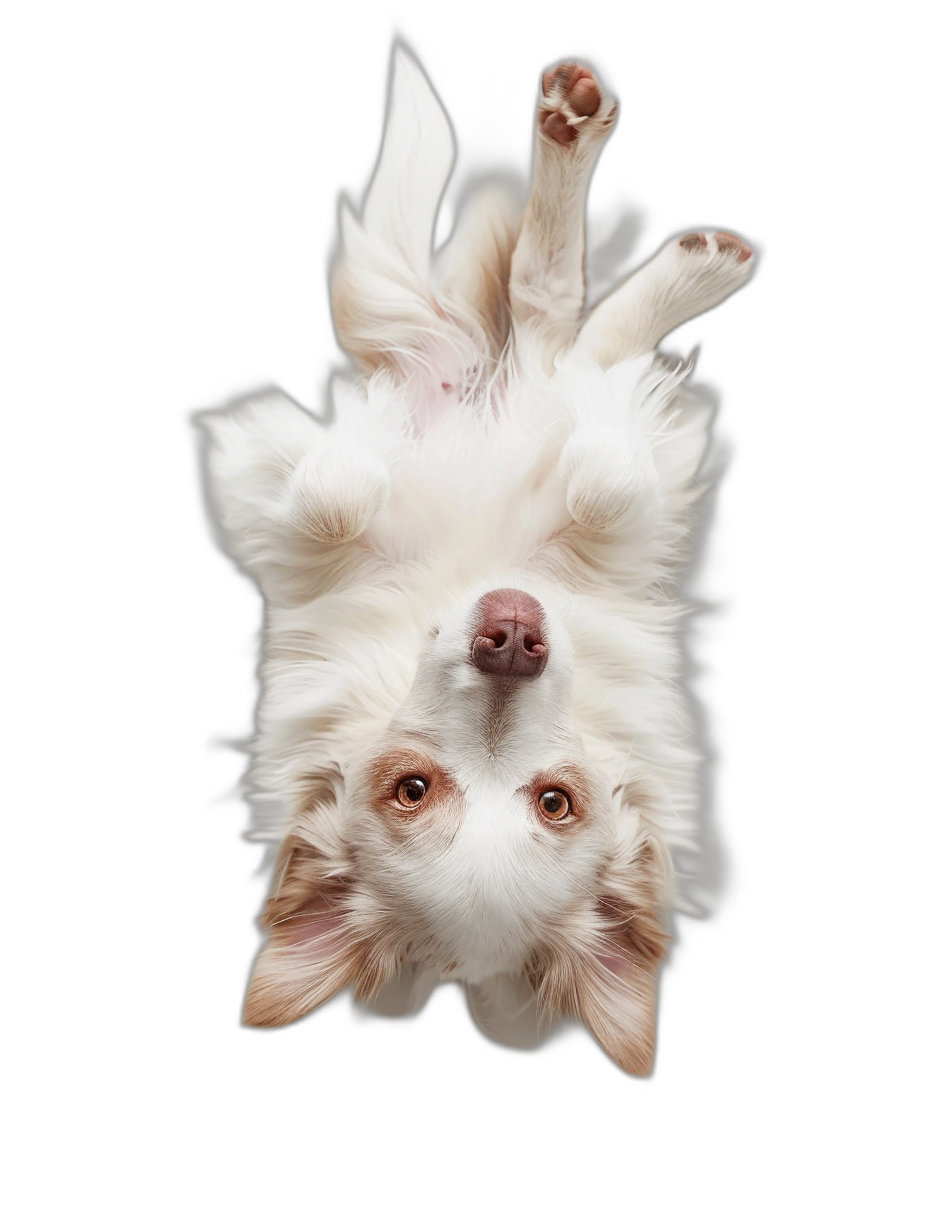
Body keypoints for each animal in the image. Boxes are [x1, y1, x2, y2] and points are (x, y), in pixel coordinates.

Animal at [195, 43, 754, 1074]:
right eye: (411, 790)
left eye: (555, 804)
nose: (512, 635)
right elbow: (347, 491)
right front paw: (365, 451)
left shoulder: (596, 534)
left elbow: (595, 465)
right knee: (552, 326)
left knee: (554, 331)